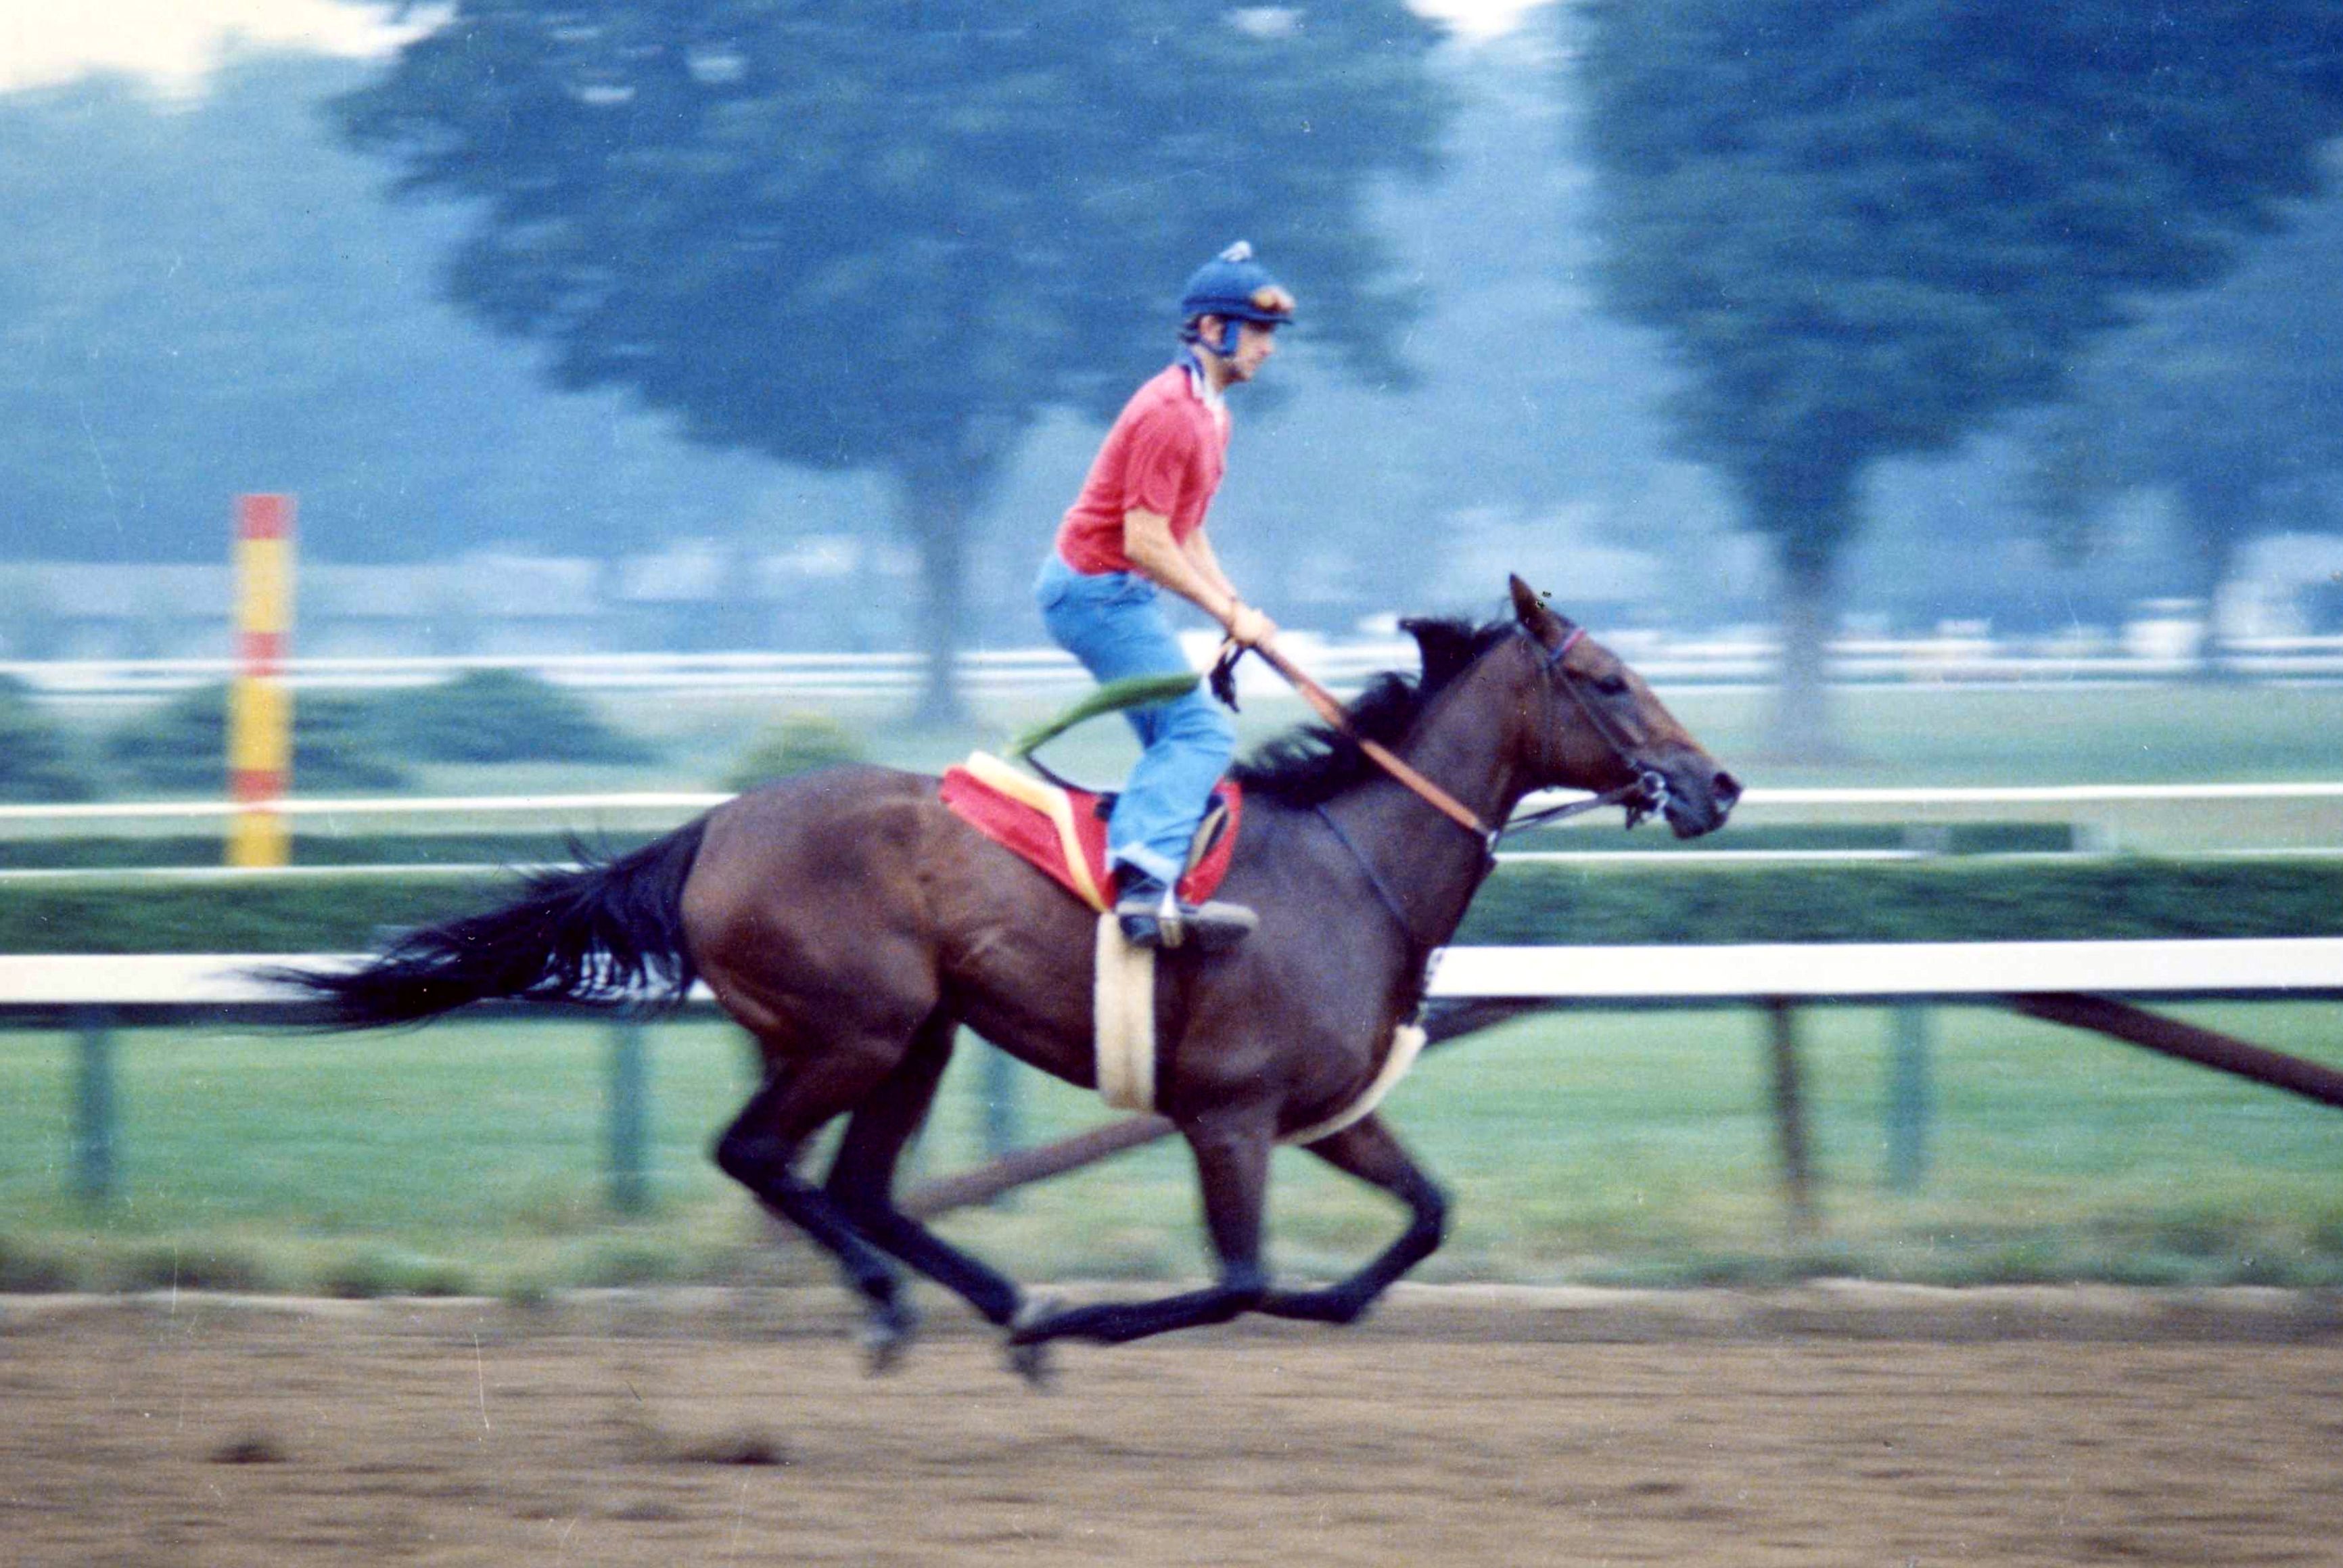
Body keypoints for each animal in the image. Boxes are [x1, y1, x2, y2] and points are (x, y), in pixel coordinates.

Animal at [279, 574, 1743, 1368]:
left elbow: (1424, 1217)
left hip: (916, 1032)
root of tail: (712, 826)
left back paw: (999, 1304)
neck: (1350, 866)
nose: (1718, 783)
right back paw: (918, 1307)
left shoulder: (1333, 1109)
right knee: (763, 1158)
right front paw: (1100, 1319)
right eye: (1608, 677)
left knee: (858, 1185)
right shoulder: (1229, 1115)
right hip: (855, 1028)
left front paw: (1320, 1299)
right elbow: (1236, 1278)